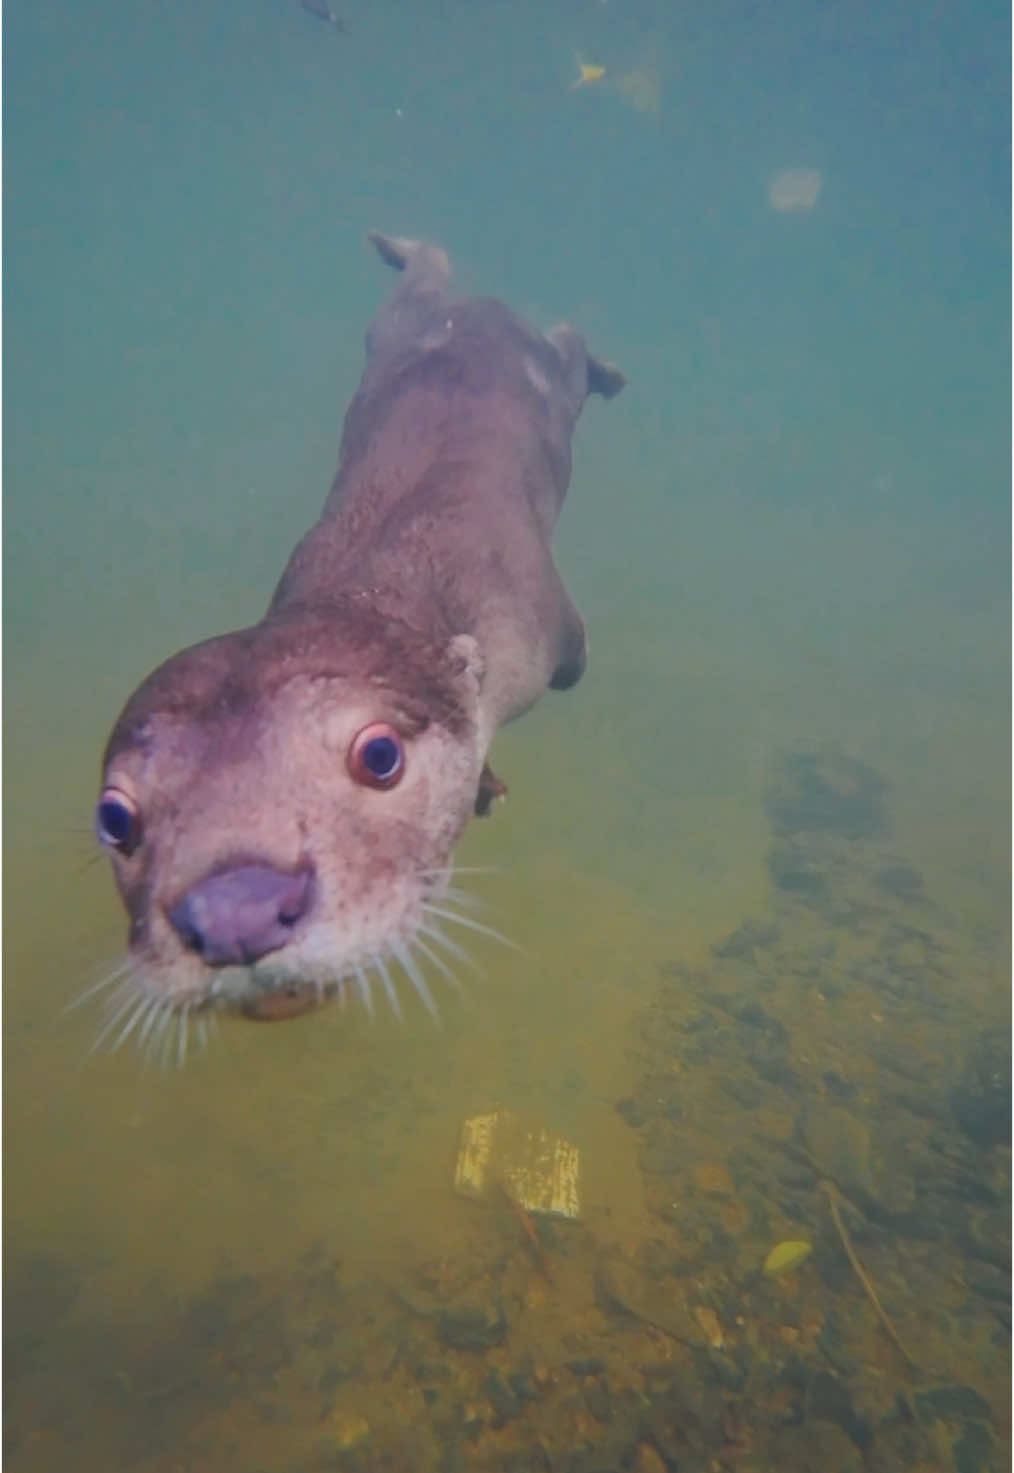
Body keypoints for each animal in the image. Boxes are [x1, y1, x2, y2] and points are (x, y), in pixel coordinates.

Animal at [93, 232, 624, 1036]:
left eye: (379, 756)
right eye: (114, 818)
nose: (235, 913)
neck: (399, 578)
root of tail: (485, 314)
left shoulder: (551, 632)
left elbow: (580, 658)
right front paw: (486, 784)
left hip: (541, 376)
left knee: (563, 346)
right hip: (396, 330)